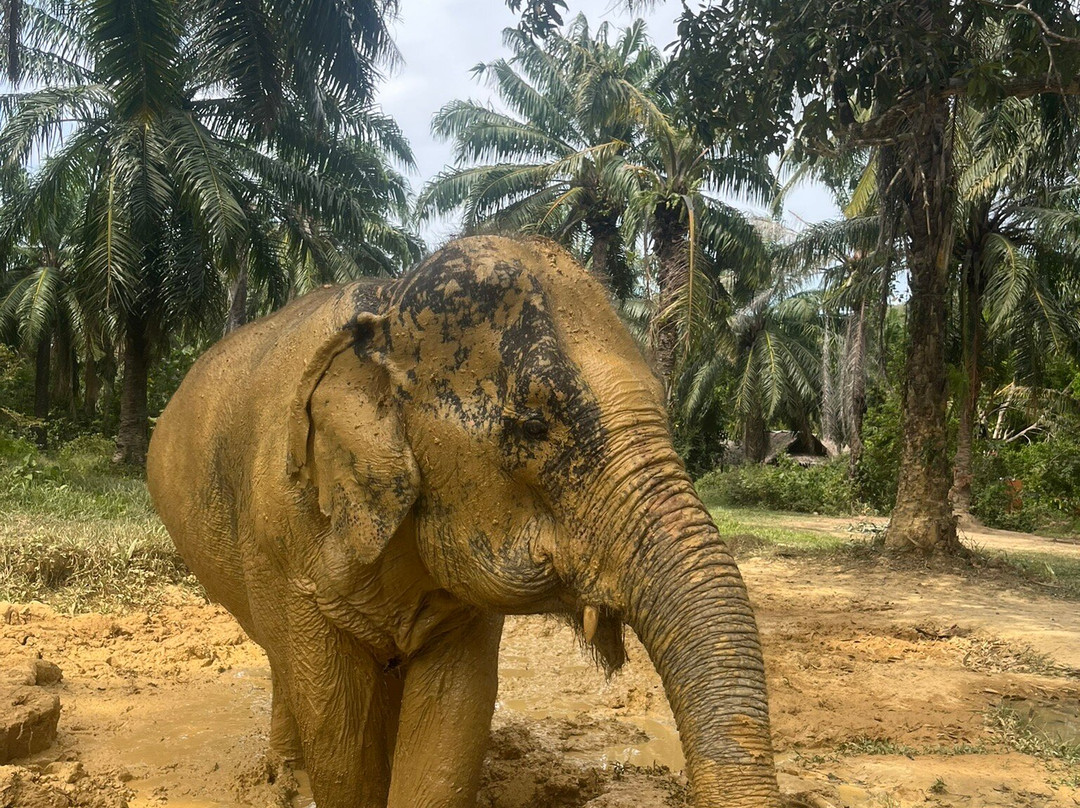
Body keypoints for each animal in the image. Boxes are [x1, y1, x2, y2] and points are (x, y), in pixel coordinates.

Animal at [147, 236, 779, 808]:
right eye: (533, 425)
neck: (387, 310)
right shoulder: (285, 540)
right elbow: (337, 725)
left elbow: (454, 714)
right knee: (286, 665)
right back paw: (282, 780)